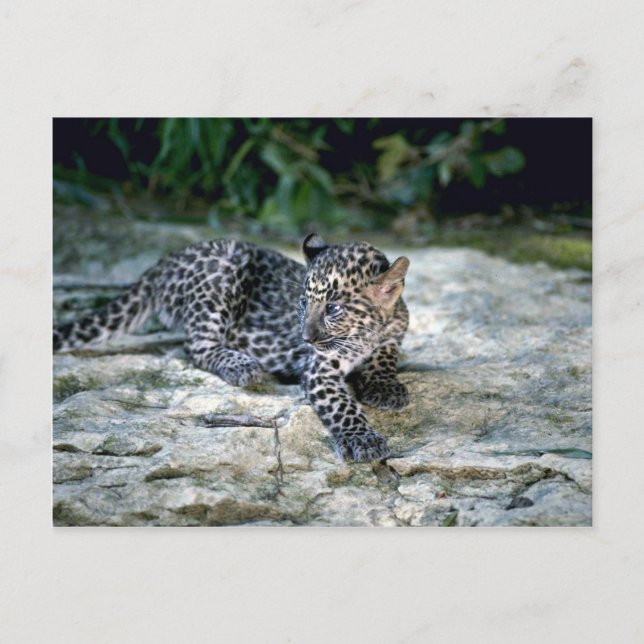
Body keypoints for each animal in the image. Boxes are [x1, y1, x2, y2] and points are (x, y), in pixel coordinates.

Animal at [53, 234, 411, 462]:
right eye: (303, 303)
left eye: (333, 309)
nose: (305, 338)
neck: (367, 333)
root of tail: (164, 262)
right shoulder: (319, 369)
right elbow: (342, 407)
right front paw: (364, 440)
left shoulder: (395, 332)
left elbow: (385, 356)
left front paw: (386, 388)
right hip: (223, 273)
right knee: (195, 346)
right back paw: (241, 365)